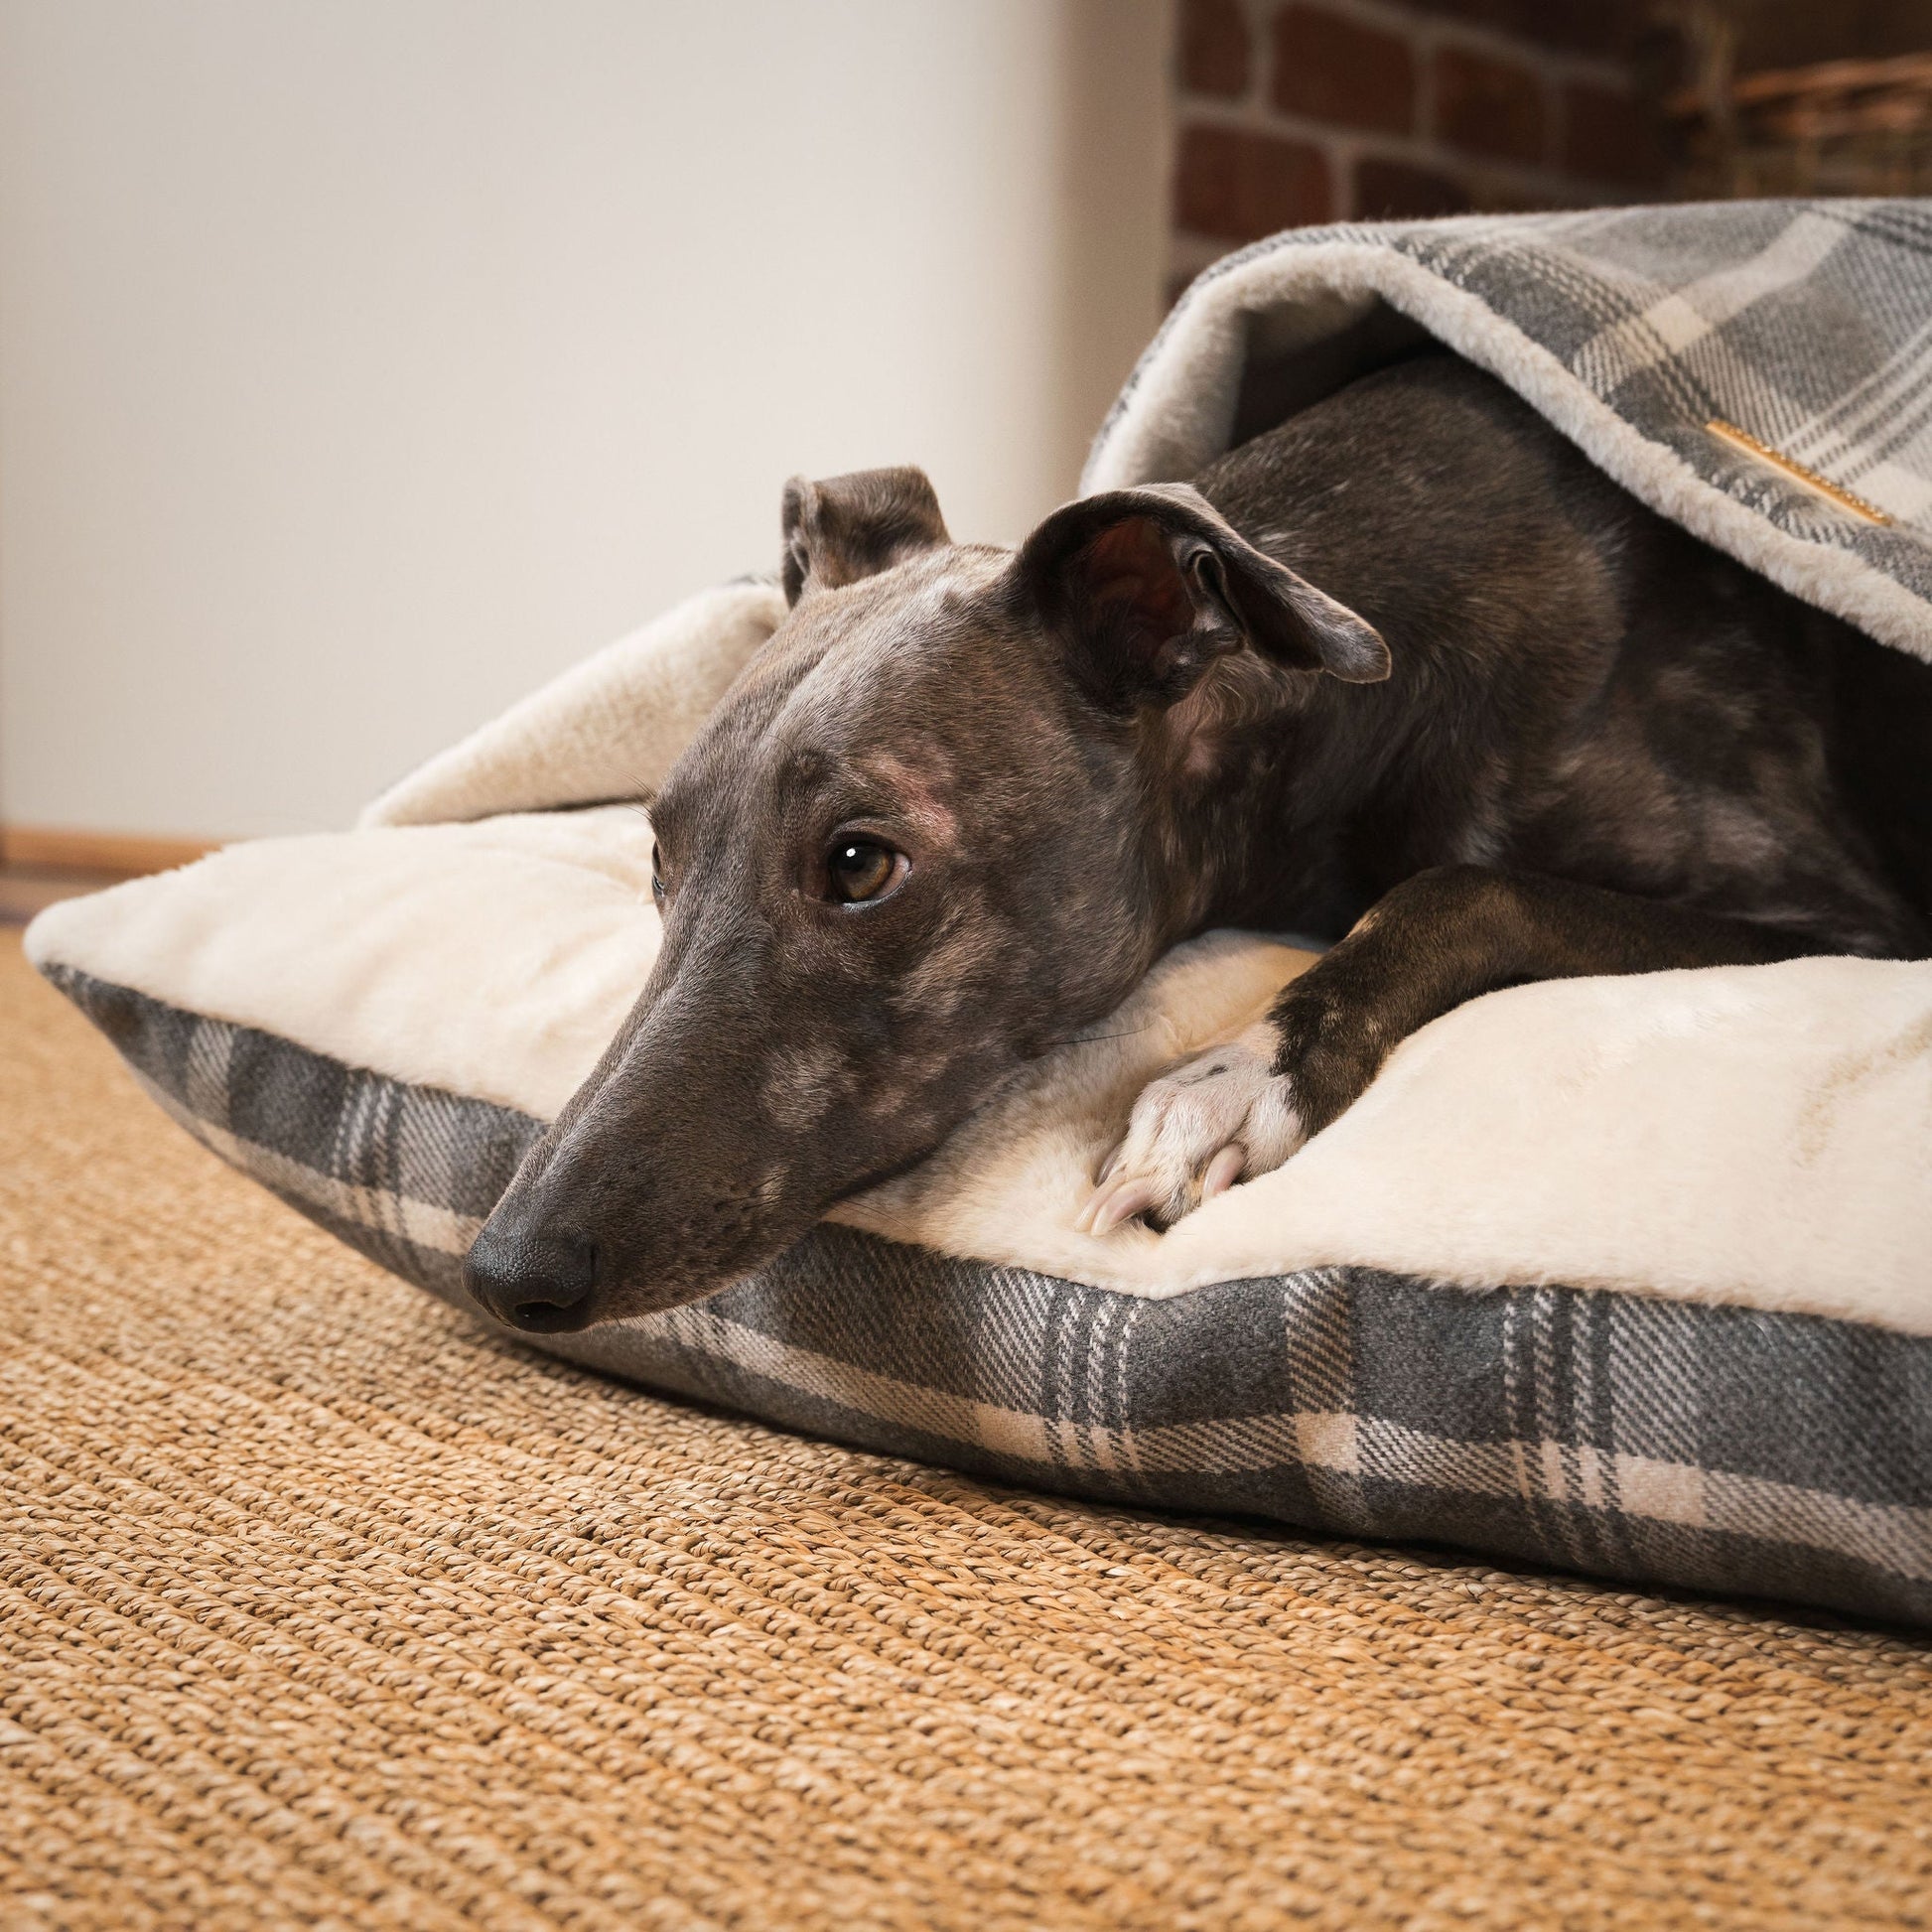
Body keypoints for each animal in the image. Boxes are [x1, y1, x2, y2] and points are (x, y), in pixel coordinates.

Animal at [467, 351, 1932, 1328]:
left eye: (858, 863)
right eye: (657, 859)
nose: (507, 1268)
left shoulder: (1851, 924)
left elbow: (1467, 884)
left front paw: (1228, 1079)